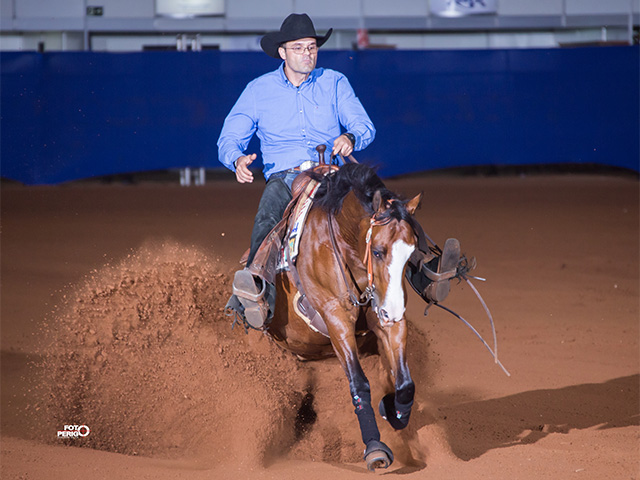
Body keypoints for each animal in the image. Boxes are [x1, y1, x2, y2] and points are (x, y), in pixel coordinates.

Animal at [262, 163, 428, 470]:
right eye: (378, 251)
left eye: (411, 251)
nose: (392, 310)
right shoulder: (336, 320)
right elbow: (359, 383)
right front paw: (375, 448)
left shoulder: (389, 320)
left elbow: (405, 383)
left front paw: (392, 411)